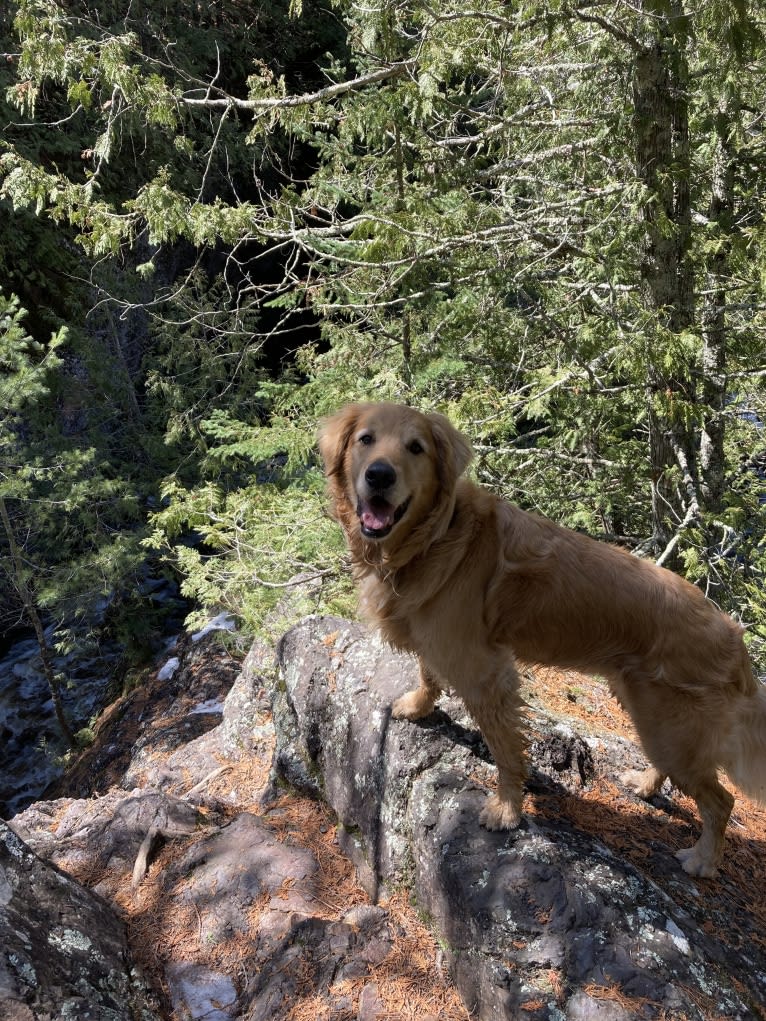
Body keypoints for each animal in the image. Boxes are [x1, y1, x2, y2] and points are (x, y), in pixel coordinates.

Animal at [318, 400, 766, 878]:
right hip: (649, 712)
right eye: (366, 439)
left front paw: (506, 809)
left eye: (415, 448)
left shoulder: (484, 671)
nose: (379, 475)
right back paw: (645, 784)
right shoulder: (438, 639)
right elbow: (428, 671)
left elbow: (505, 748)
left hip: (671, 725)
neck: (435, 537)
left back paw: (702, 860)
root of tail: (733, 635)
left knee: (721, 801)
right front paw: (418, 706)